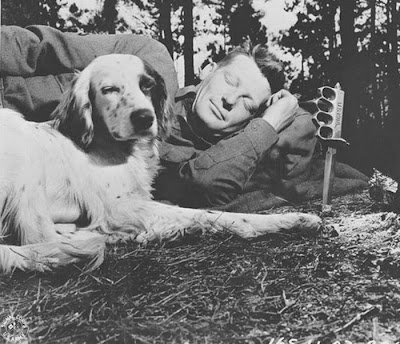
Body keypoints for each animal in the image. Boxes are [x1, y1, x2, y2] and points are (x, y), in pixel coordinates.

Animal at [0, 55, 322, 272]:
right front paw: (291, 220)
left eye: (146, 85)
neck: (116, 149)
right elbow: (209, 213)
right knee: (39, 237)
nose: (144, 117)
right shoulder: (118, 208)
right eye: (109, 89)